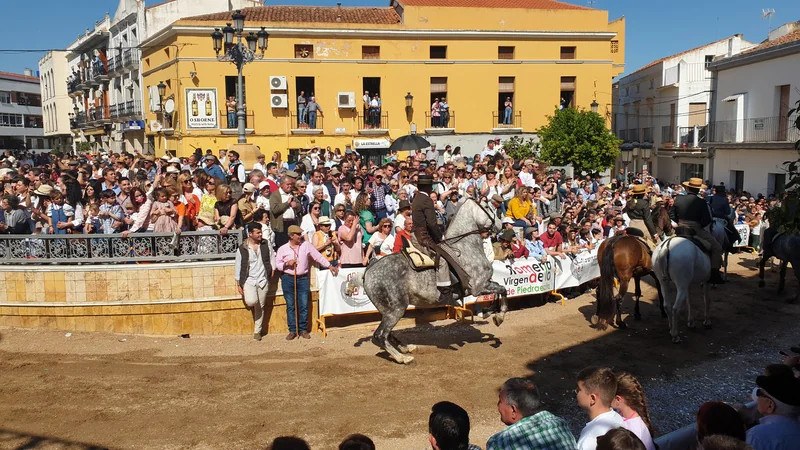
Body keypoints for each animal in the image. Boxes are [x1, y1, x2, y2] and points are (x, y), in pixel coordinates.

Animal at [346, 199, 506, 364]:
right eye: (487, 207)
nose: (500, 224)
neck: (465, 248)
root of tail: (367, 272)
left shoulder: (485, 284)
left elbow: (500, 289)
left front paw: (489, 313)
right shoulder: (479, 286)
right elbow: (502, 290)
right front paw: (497, 316)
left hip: (387, 311)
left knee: (387, 333)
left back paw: (406, 347)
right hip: (395, 310)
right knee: (380, 335)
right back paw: (403, 358)